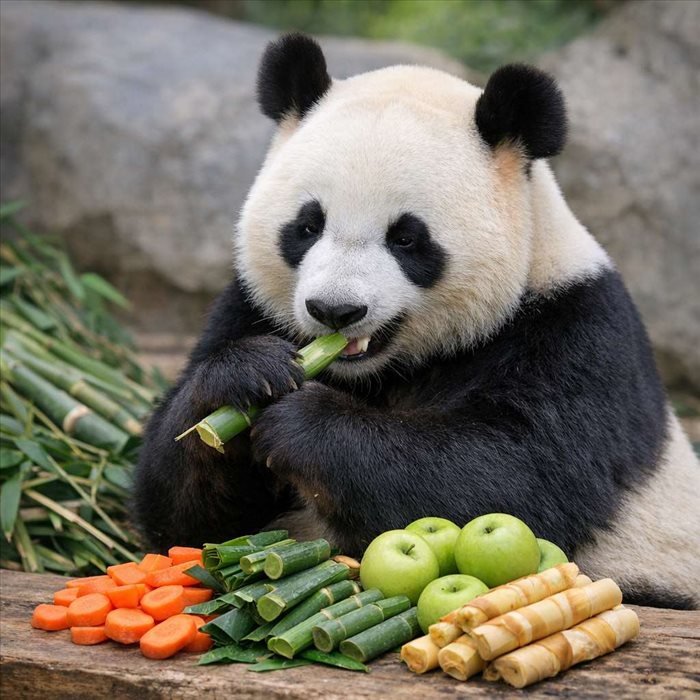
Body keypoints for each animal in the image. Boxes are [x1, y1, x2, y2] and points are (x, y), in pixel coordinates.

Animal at [135, 33, 700, 610]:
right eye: (308, 225)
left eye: (406, 237)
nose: (335, 310)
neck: (388, 371)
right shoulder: (251, 305)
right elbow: (185, 518)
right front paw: (247, 378)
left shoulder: (575, 331)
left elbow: (512, 472)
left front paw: (304, 423)